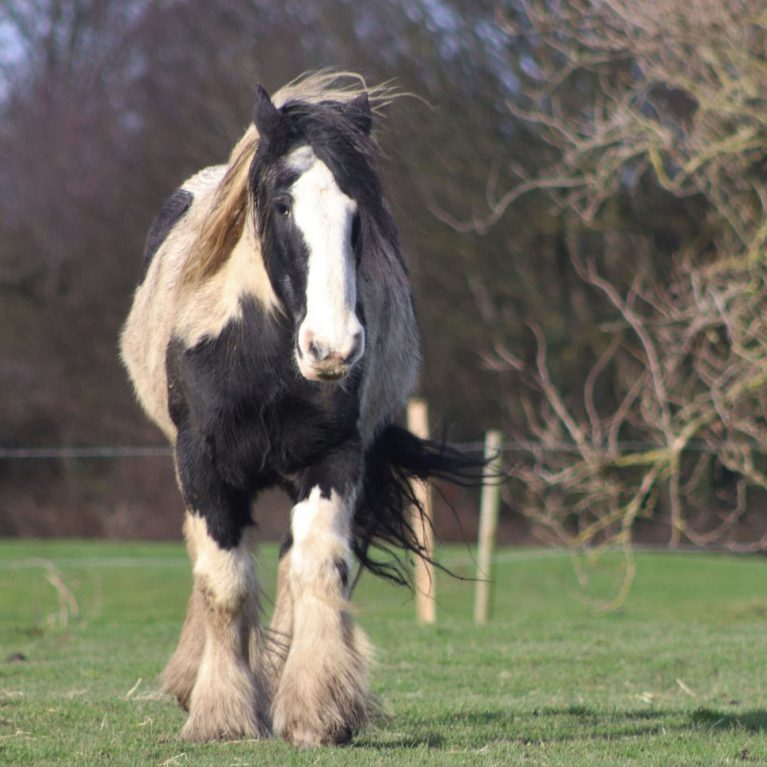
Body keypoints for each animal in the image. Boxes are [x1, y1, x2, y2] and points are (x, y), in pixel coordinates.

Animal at [120, 70, 480, 744]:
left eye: (357, 211)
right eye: (282, 205)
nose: (332, 347)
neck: (260, 361)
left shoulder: (333, 460)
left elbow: (315, 568)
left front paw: (317, 711)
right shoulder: (202, 467)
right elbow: (225, 583)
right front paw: (222, 715)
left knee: (294, 573)